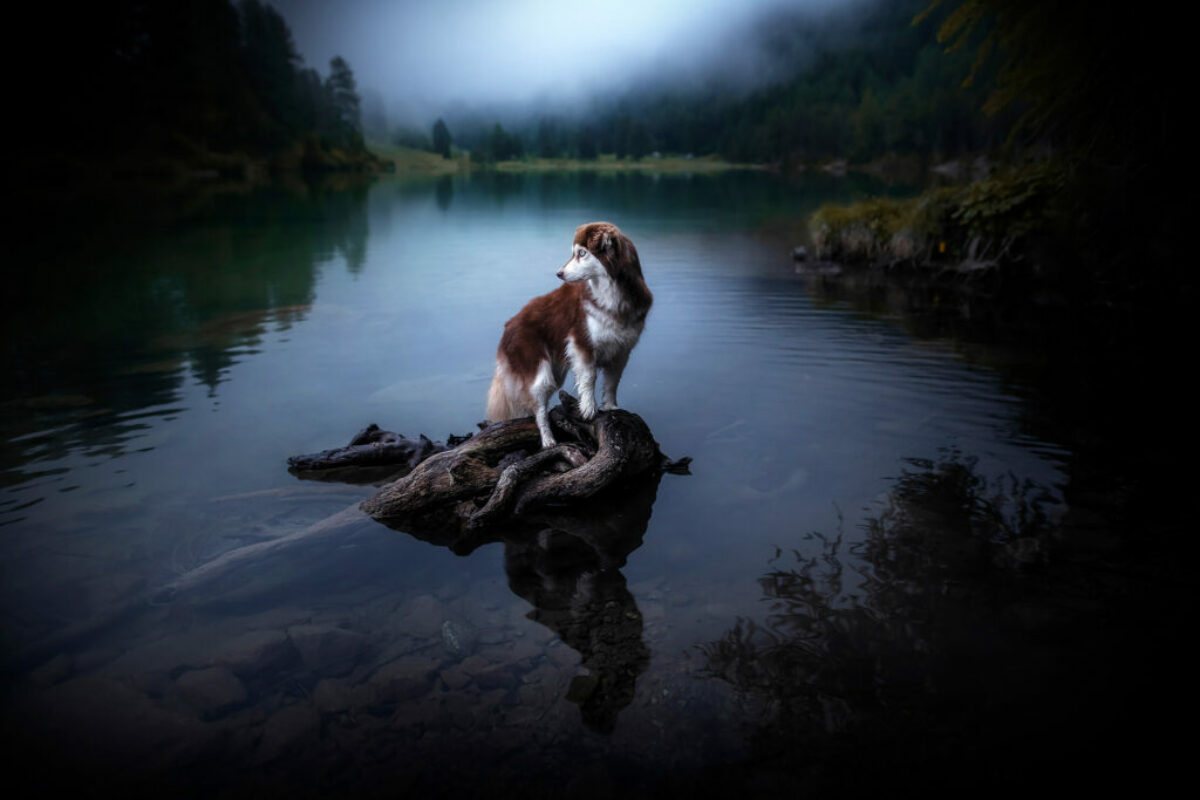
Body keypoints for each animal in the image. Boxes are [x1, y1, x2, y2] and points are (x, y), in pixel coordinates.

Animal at [484, 221, 657, 448]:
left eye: (582, 253)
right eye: (574, 253)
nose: (559, 273)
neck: (611, 293)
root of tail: (507, 325)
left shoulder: (621, 350)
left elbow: (613, 381)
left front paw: (611, 407)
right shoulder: (582, 343)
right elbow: (589, 377)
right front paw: (589, 408)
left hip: (556, 371)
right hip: (540, 370)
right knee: (539, 407)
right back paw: (548, 439)